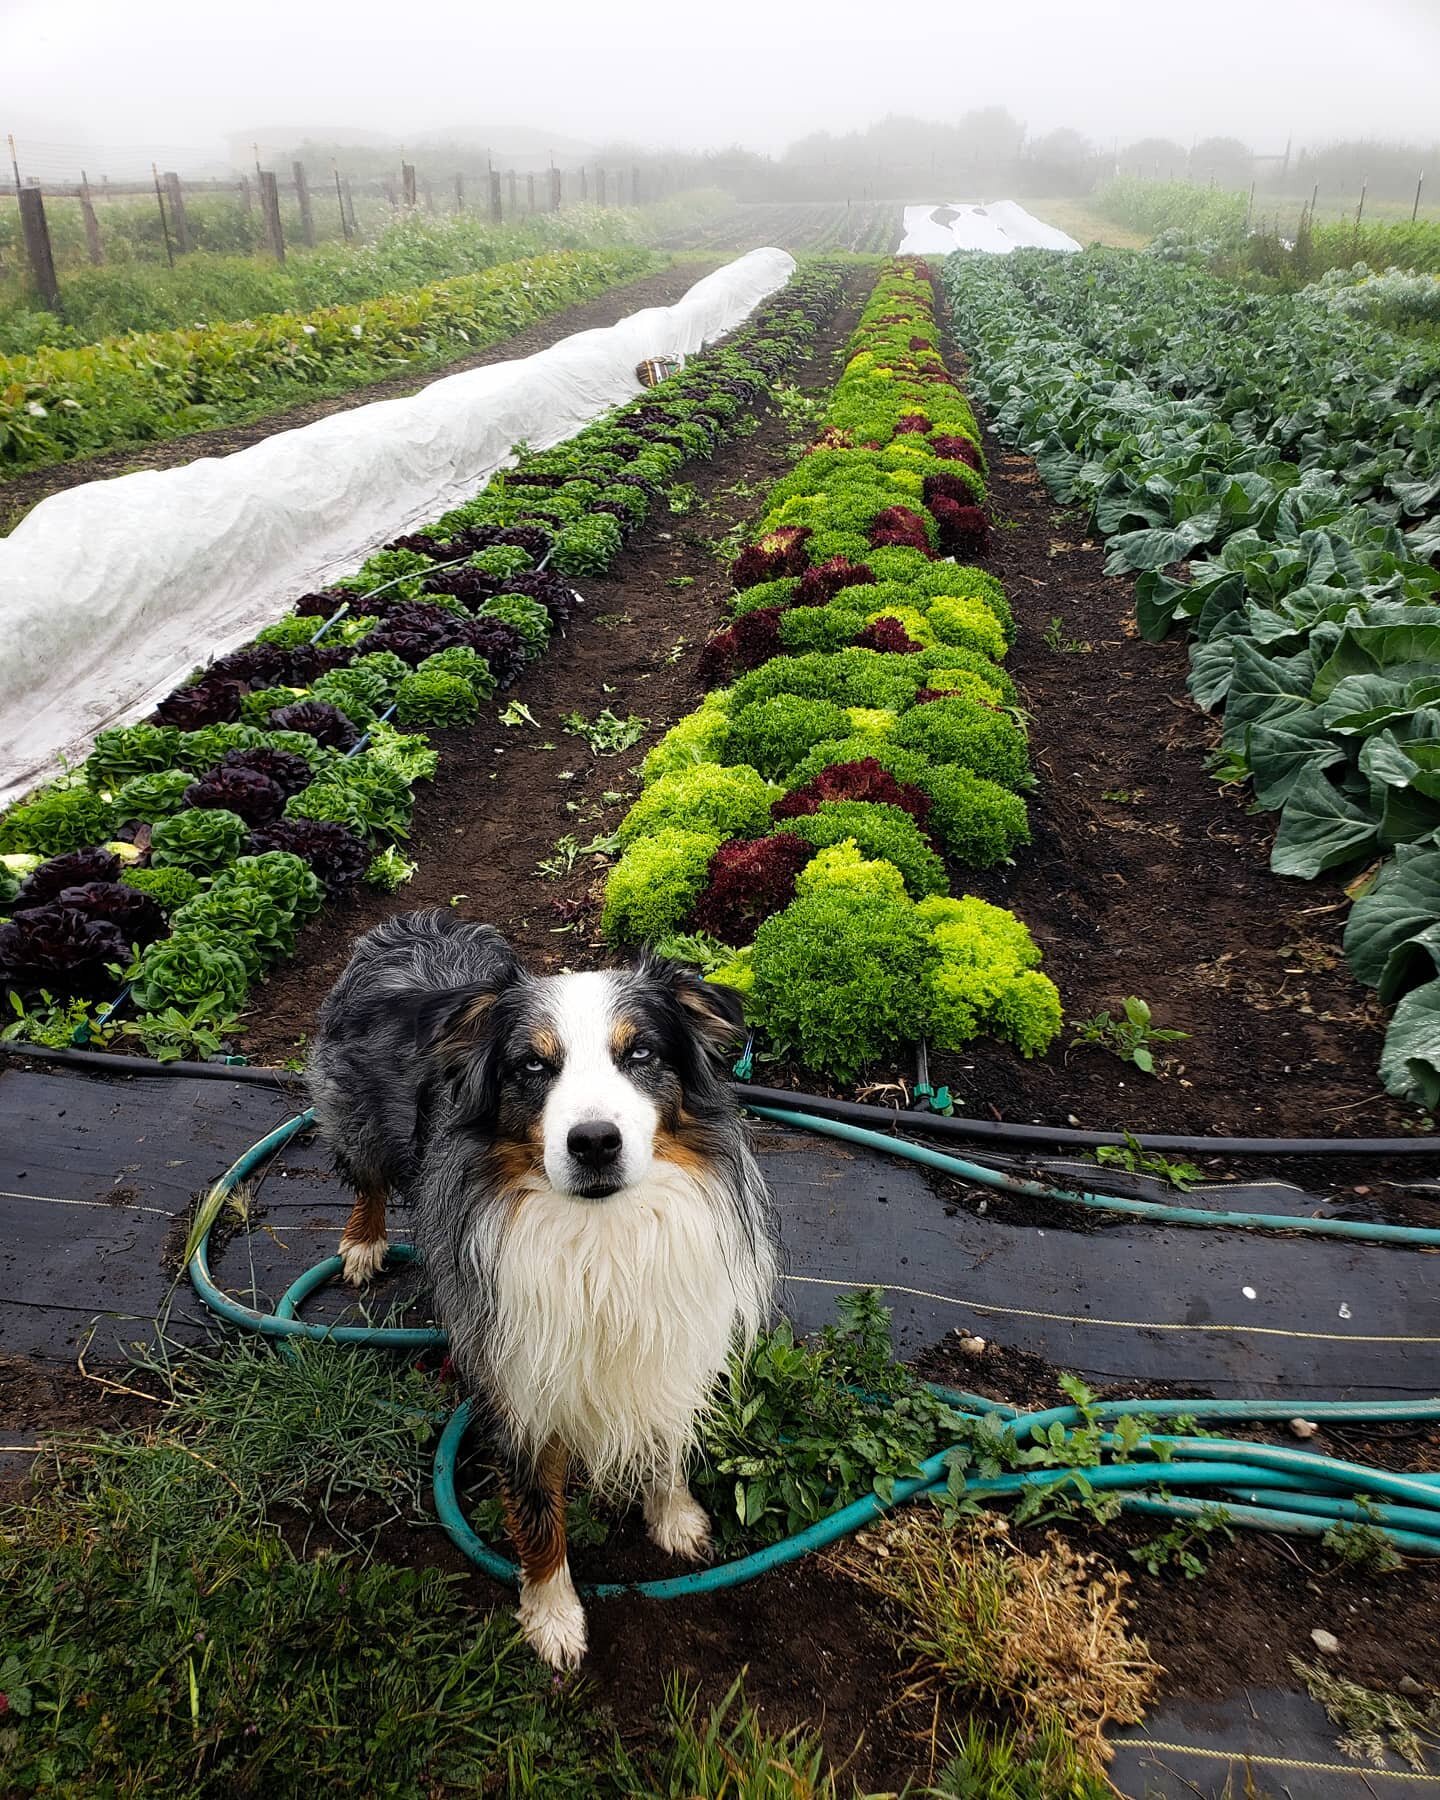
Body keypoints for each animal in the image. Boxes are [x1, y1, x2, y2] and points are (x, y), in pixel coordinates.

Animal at [306, 914, 777, 1670]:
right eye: (532, 1066)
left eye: (640, 1054)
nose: (595, 1143)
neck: (601, 1235)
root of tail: (412, 925)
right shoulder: (520, 1383)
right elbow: (538, 1512)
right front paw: (553, 1616)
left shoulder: (666, 1342)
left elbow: (666, 1438)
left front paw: (674, 1516)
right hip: (351, 1115)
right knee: (367, 1176)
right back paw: (364, 1240)